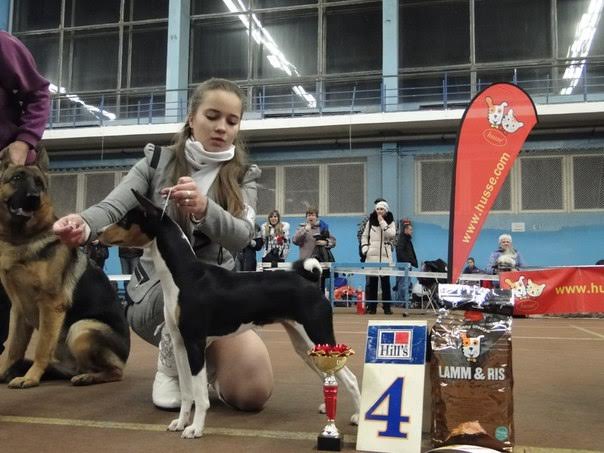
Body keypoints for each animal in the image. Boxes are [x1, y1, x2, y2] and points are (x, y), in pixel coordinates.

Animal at [0, 147, 130, 388]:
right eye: (17, 178)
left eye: (39, 184)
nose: (33, 198)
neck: (22, 239)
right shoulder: (19, 309)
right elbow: (13, 349)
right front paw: (6, 372)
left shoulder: (51, 305)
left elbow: (41, 348)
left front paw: (30, 377)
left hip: (81, 329)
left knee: (115, 372)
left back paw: (88, 377)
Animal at [98, 189, 361, 439]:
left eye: (125, 220)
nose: (99, 233)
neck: (184, 277)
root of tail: (310, 281)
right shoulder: (180, 344)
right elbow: (187, 392)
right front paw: (181, 423)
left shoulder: (195, 343)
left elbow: (199, 395)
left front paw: (195, 429)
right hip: (304, 344)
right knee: (329, 375)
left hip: (318, 336)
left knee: (350, 379)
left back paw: (358, 417)